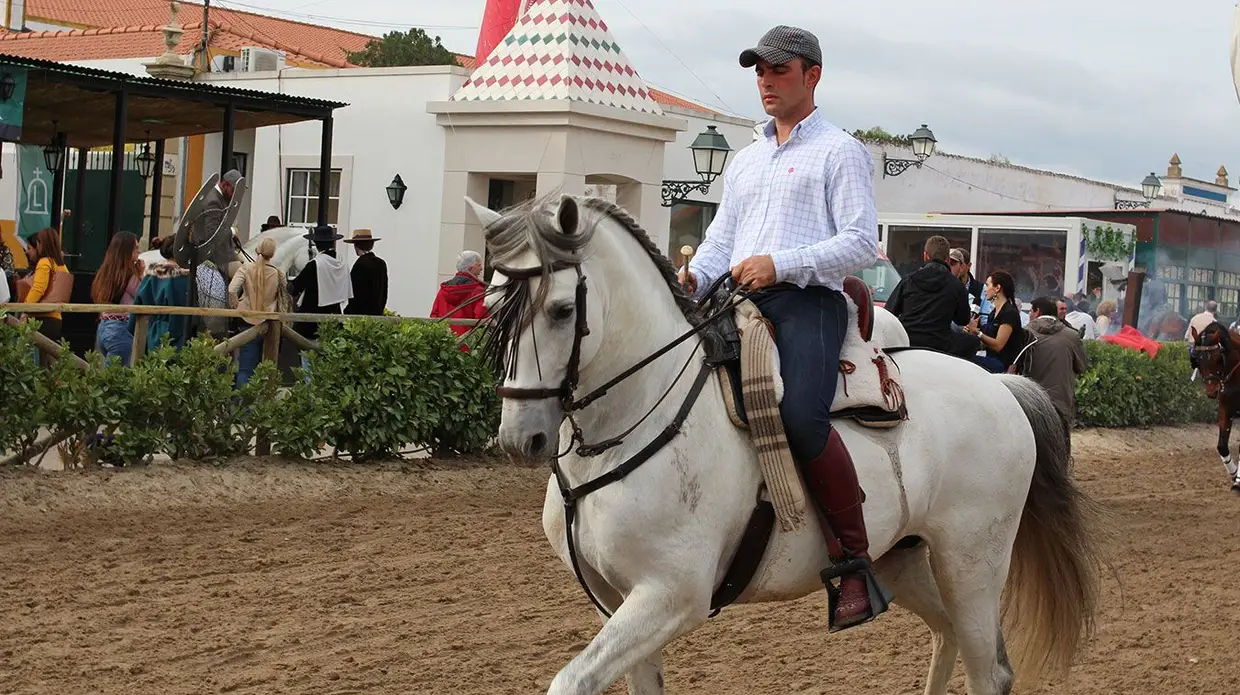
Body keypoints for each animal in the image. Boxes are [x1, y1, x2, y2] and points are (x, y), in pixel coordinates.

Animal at [466, 192, 1102, 695]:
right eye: (492, 304)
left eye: (560, 309)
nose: (521, 437)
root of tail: (1000, 387)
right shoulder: (619, 600)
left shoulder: (671, 596)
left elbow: (569, 681)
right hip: (903, 558)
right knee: (949, 638)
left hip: (972, 563)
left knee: (986, 669)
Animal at [1189, 321, 1240, 493]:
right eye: (1197, 359)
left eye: (1218, 357)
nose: (1212, 391)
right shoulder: (1225, 409)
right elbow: (1222, 446)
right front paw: (1235, 476)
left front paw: (1239, 479)